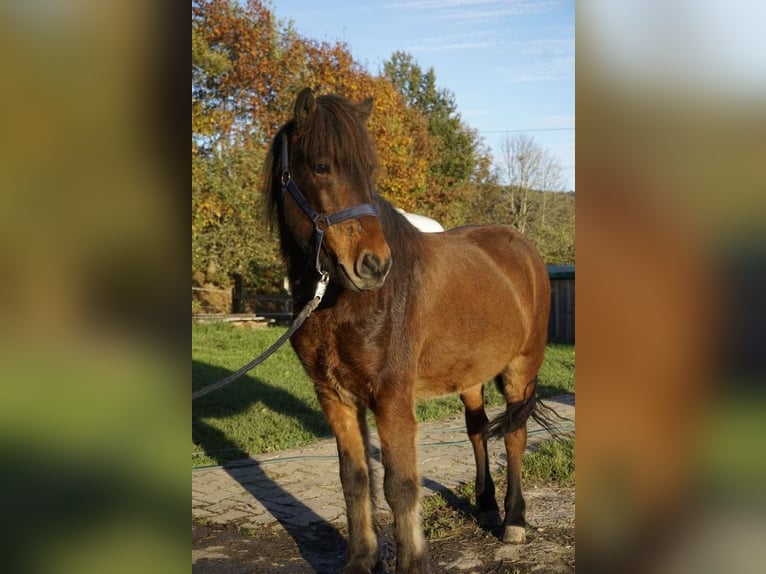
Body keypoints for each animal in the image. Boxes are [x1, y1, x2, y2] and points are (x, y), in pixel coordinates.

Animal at [264, 88, 552, 572]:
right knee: (477, 429)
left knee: (514, 434)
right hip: (469, 377)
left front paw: (412, 561)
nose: (373, 265)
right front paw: (360, 560)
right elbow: (355, 480)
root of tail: (524, 248)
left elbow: (399, 485)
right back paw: (486, 506)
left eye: (369, 169)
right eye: (321, 165)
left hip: (521, 369)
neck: (340, 301)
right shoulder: (334, 396)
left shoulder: (391, 395)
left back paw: (513, 520)